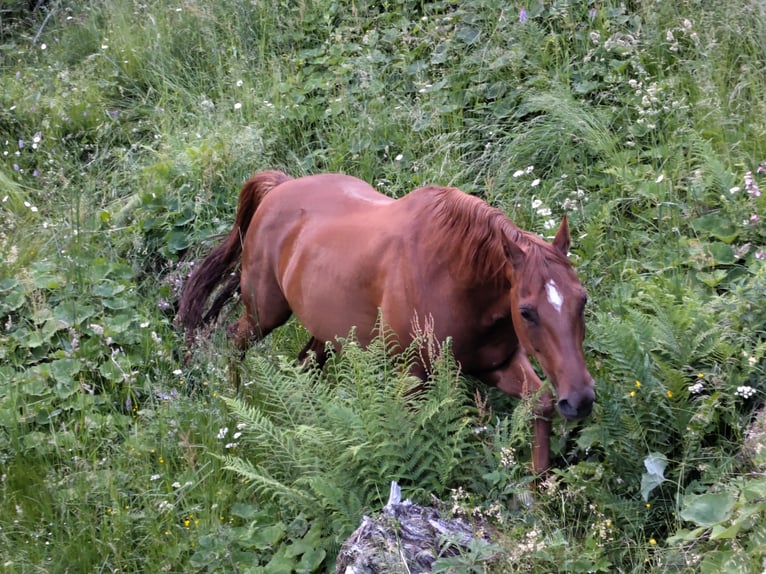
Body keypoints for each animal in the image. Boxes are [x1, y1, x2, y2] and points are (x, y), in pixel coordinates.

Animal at [176, 170, 595, 473]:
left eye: (582, 299)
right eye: (526, 311)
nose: (580, 400)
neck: (456, 276)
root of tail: (279, 186)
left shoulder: (497, 364)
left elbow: (541, 404)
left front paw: (538, 490)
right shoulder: (413, 378)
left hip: (326, 330)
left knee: (306, 362)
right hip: (264, 313)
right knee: (236, 340)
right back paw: (235, 405)